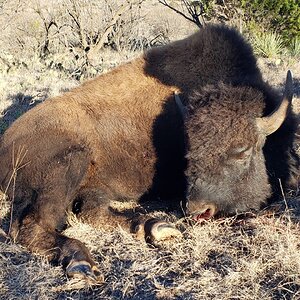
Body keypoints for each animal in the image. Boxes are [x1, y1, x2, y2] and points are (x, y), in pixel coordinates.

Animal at [0, 25, 298, 278]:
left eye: (242, 150)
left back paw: (155, 227)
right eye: (188, 150)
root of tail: (5, 142)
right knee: (31, 225)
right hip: (69, 164)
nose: (198, 209)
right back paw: (81, 262)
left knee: (89, 212)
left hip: (91, 185)